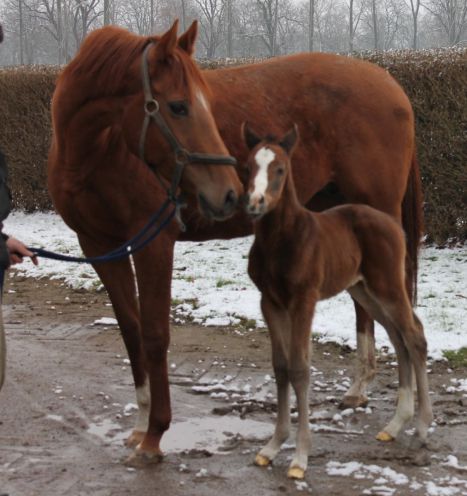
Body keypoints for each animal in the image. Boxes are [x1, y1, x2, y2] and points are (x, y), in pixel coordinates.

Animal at [243, 124, 434, 480]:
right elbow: (280, 367)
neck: (281, 240)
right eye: (248, 166)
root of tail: (394, 225)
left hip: (387, 286)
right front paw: (272, 447)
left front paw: (299, 459)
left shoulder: (304, 301)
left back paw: (421, 428)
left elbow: (300, 368)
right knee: (398, 338)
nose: (256, 202)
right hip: (364, 291)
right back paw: (394, 426)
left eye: (281, 169)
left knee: (414, 336)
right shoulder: (270, 303)